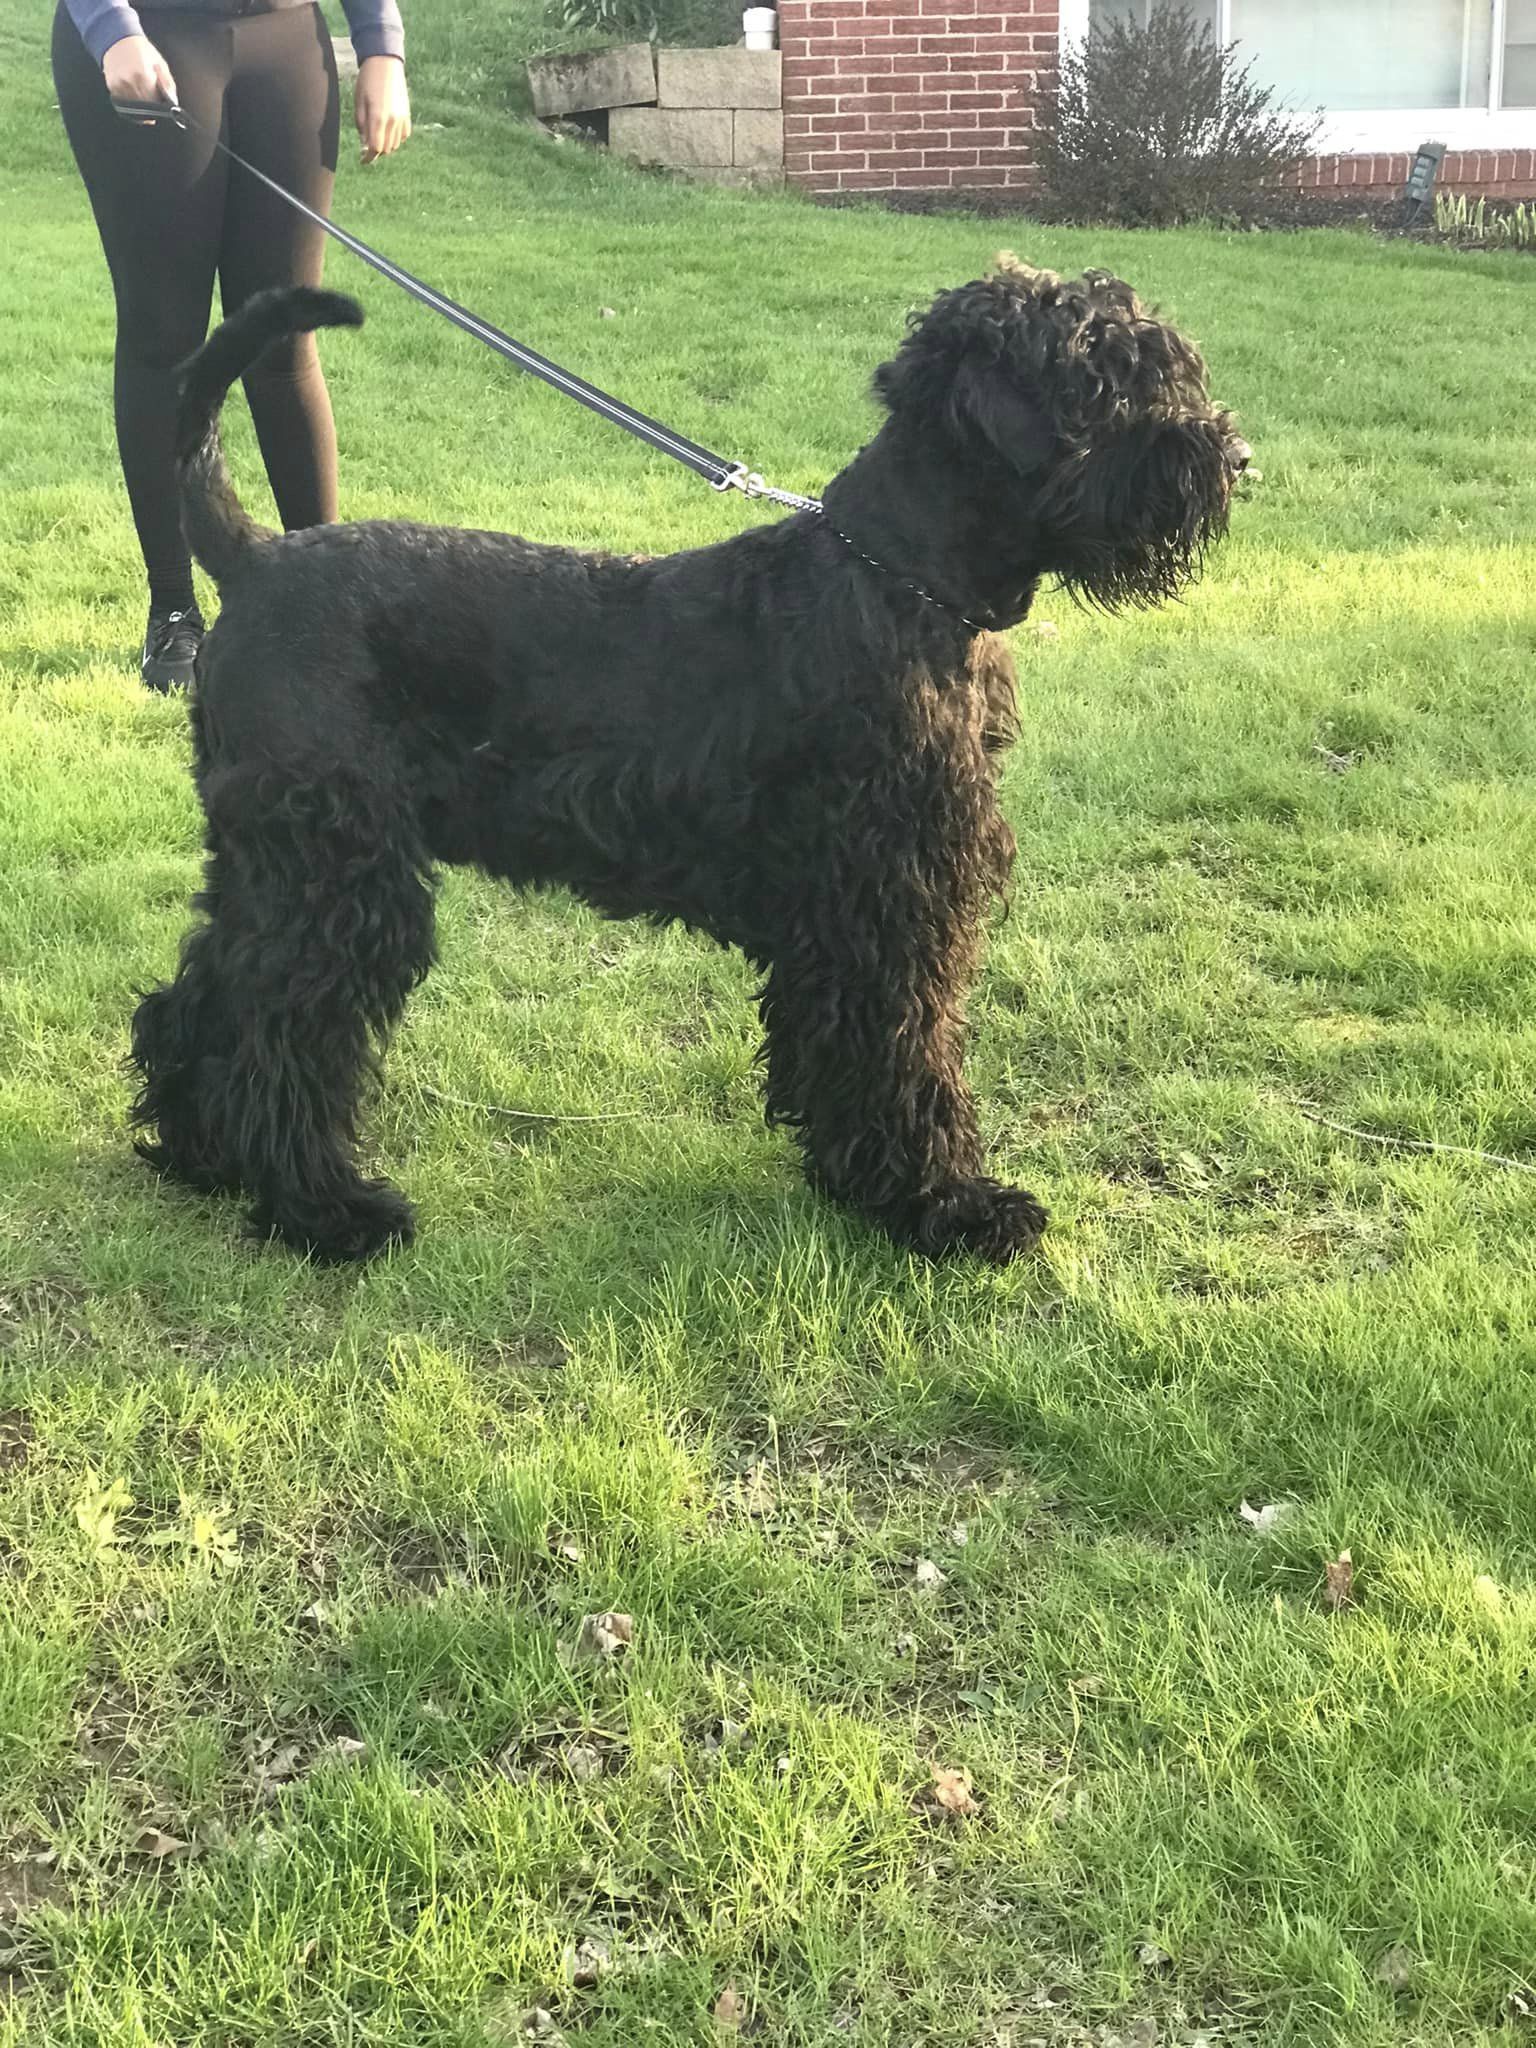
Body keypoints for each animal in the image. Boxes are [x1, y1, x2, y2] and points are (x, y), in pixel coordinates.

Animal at [129, 258, 1246, 1265]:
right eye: (1106, 376)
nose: (1235, 458)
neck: (901, 577)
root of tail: (255, 563)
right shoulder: (891, 900)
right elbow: (909, 1049)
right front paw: (946, 1205)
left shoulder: (848, 914)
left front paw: (861, 1182)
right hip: (337, 877)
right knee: (282, 1029)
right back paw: (325, 1211)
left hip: (269, 867)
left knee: (203, 995)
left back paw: (199, 1154)